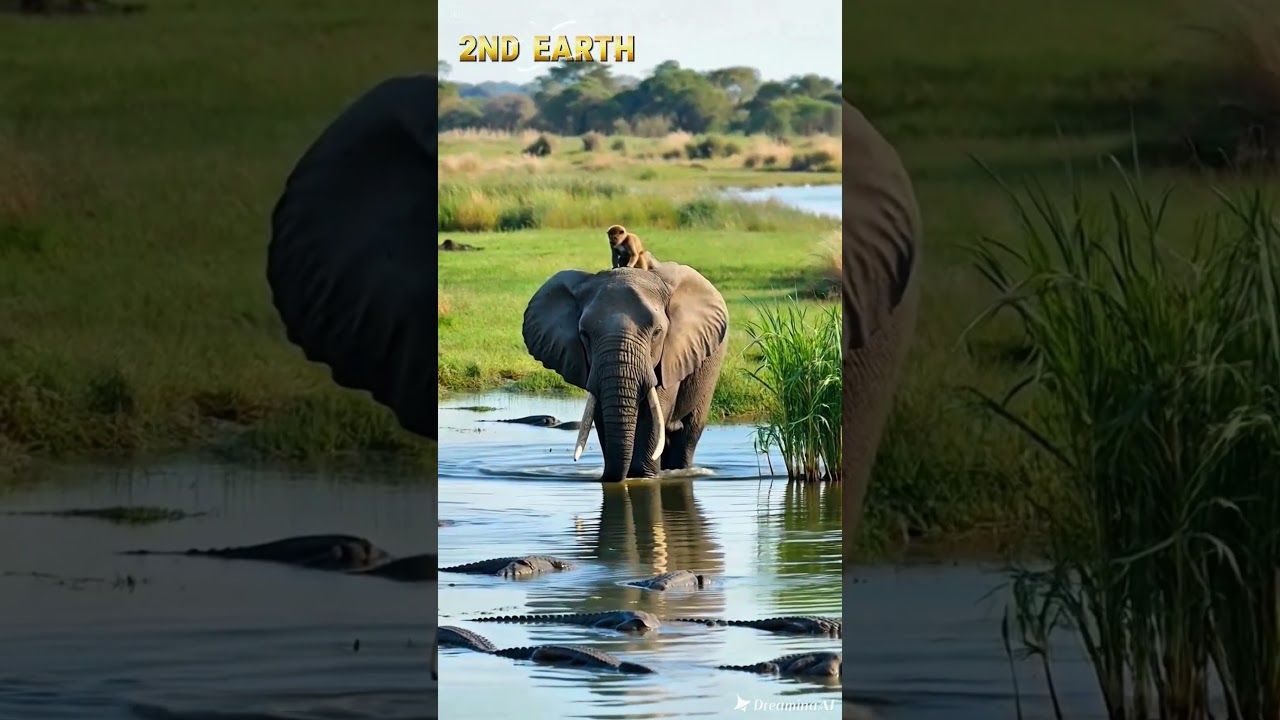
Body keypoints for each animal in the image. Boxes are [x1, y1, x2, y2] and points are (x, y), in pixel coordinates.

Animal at [523, 263, 729, 483]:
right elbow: (600, 413)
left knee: (688, 435)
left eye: (657, 333)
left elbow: (653, 412)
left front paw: (644, 476)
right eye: (584, 335)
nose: (608, 477)